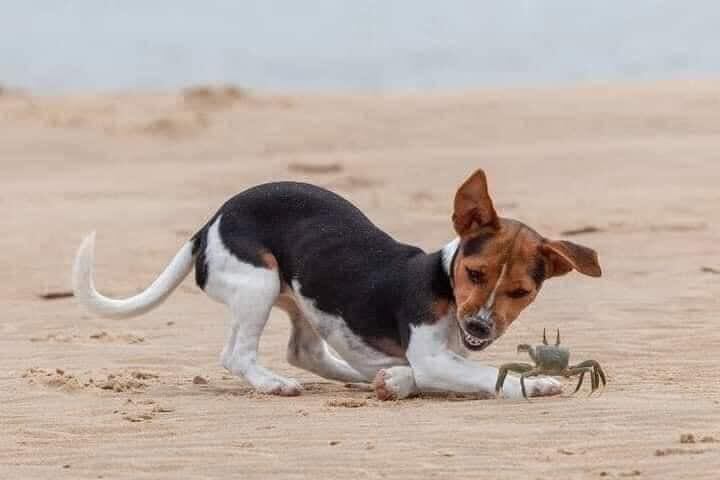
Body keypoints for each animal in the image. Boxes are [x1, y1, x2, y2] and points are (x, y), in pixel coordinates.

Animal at [73, 171, 600, 400]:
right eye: (475, 274)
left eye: (520, 292)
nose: (480, 328)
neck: (444, 286)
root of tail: (209, 224)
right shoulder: (434, 356)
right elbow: (489, 376)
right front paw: (541, 382)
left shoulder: (438, 357)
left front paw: (397, 380)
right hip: (257, 282)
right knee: (237, 355)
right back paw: (273, 384)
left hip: (301, 297)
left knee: (306, 352)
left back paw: (365, 374)